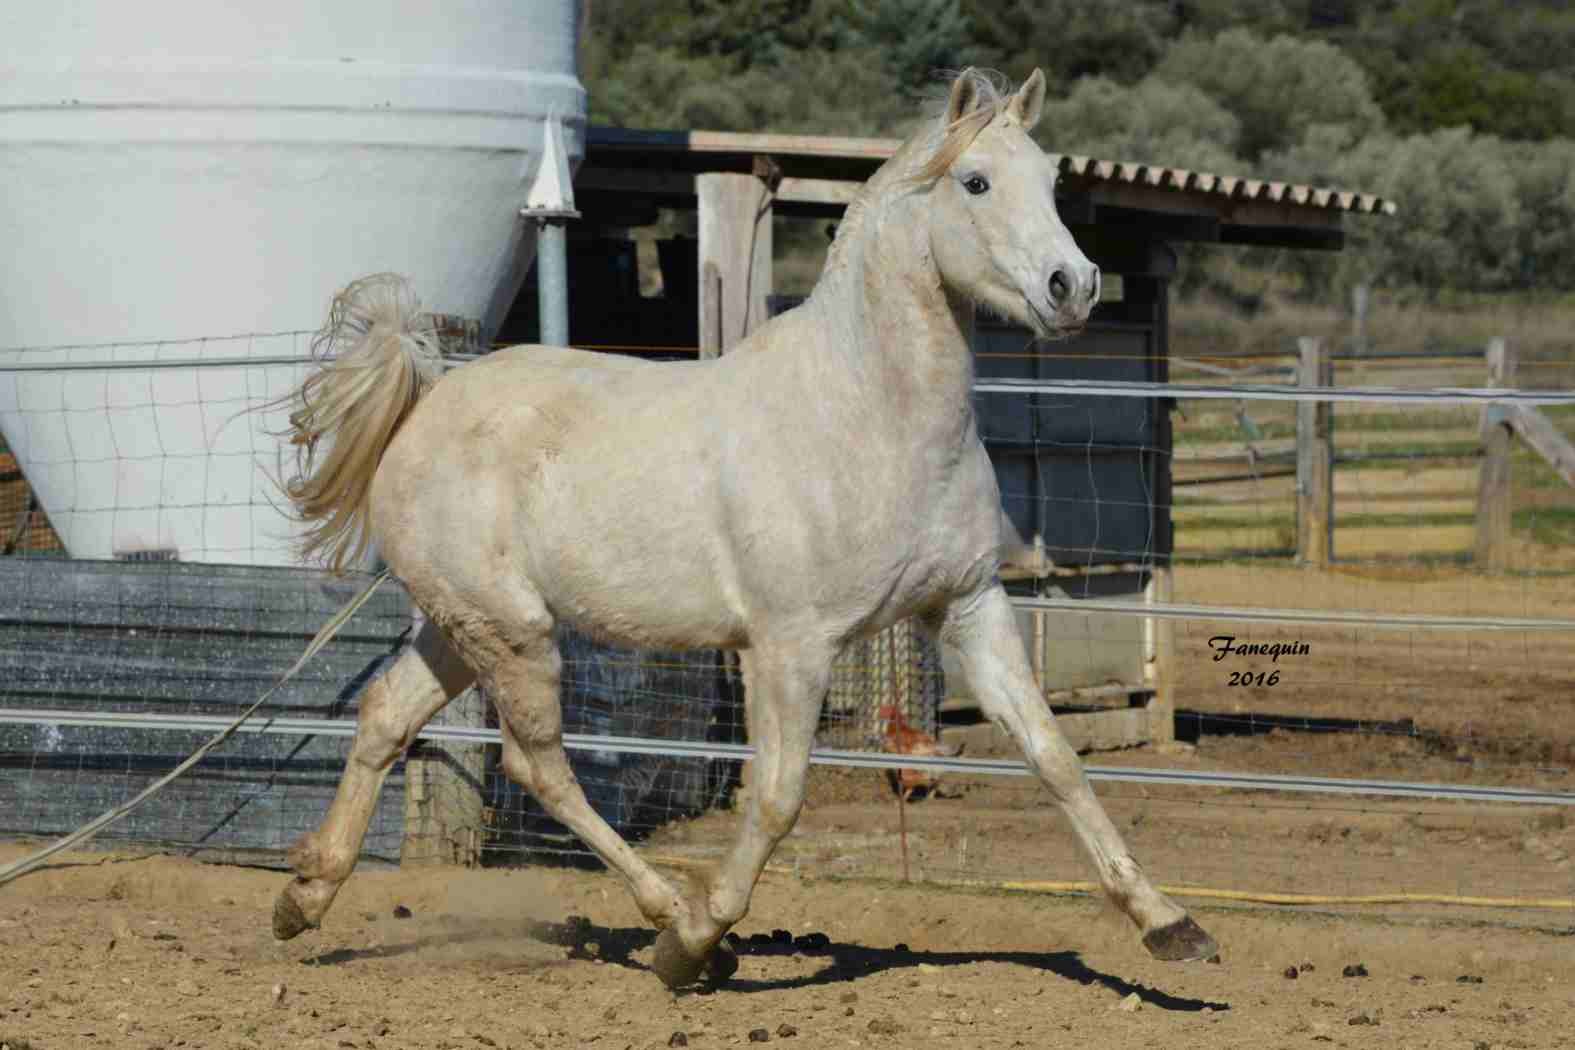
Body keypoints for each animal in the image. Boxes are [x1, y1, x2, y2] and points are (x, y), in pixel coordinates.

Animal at [270, 67, 1215, 988]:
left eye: (1052, 180)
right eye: (975, 181)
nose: (1073, 287)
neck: (871, 417)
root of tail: (427, 400)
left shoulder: (969, 606)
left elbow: (1054, 756)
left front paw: (1169, 925)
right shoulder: (791, 644)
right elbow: (778, 795)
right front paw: (697, 940)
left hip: (463, 630)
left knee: (386, 715)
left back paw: (305, 894)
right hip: (512, 634)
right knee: (538, 763)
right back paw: (669, 922)